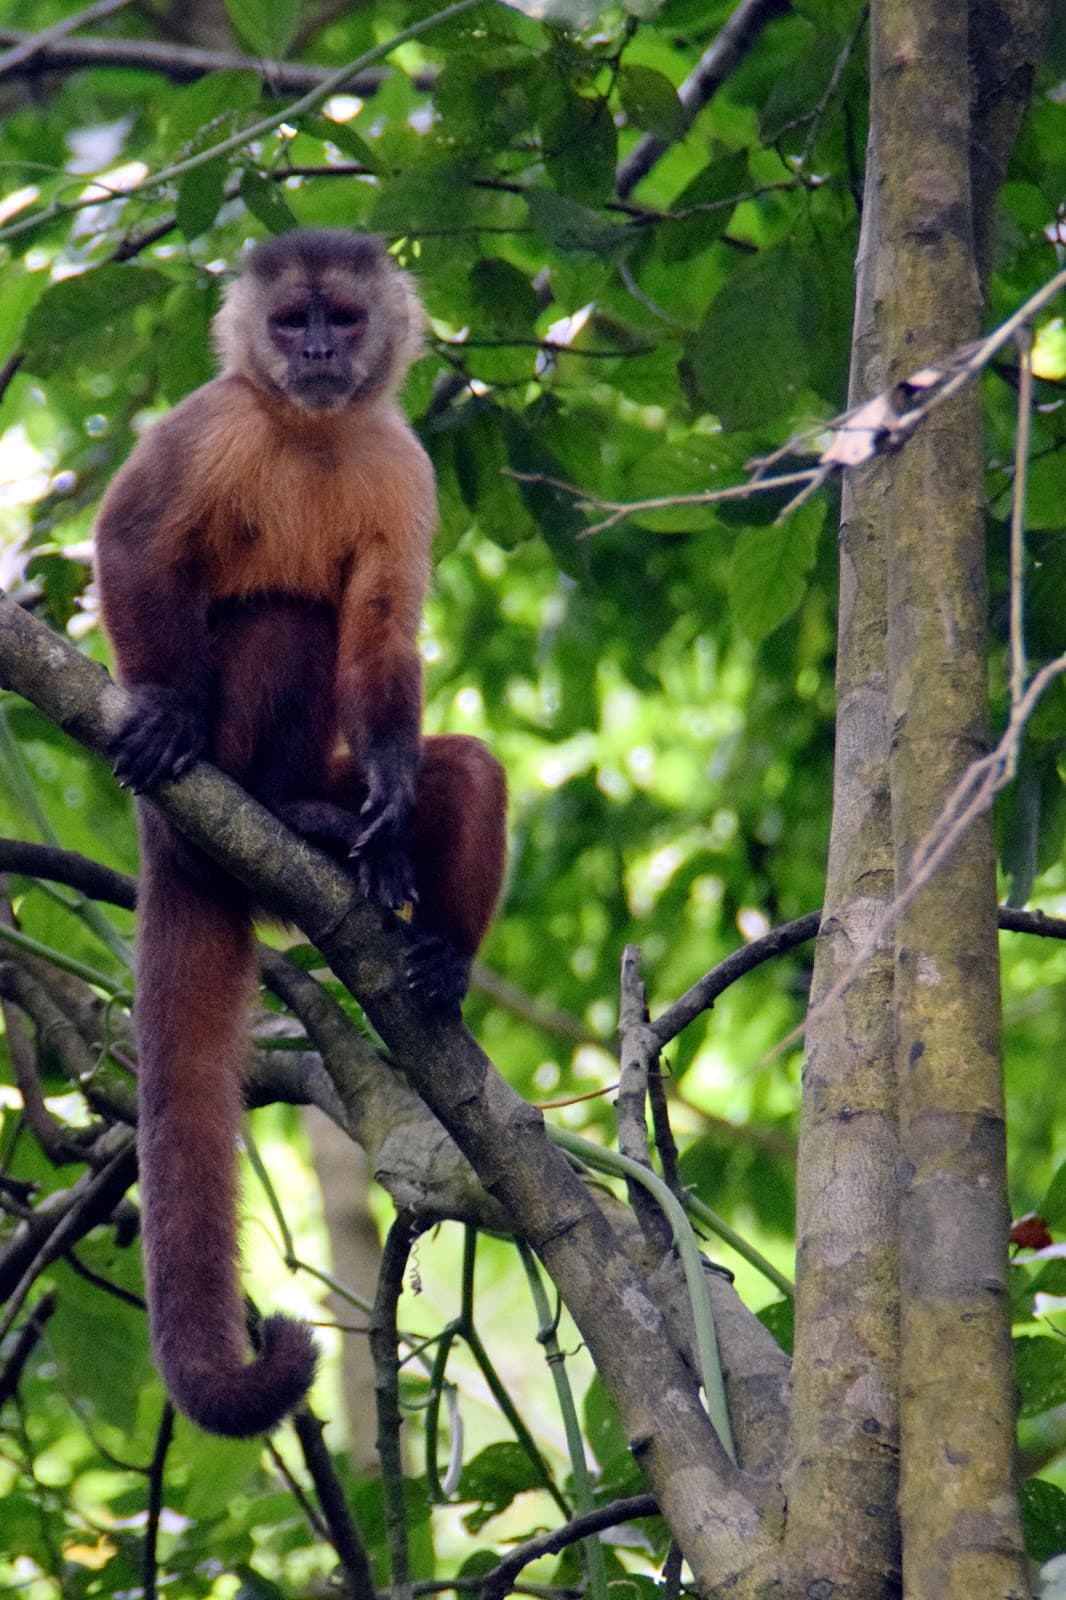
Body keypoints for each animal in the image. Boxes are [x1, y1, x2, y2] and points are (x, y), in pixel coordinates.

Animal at [93, 229, 507, 1439]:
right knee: (282, 618)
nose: (318, 351)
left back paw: (421, 931)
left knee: (463, 768)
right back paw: (262, 797)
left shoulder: (401, 461)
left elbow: (383, 634)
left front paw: (395, 801)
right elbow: (130, 542)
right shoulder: (212, 420)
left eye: (339, 317)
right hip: (206, 790)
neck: (312, 430)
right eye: (291, 322)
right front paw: (164, 711)